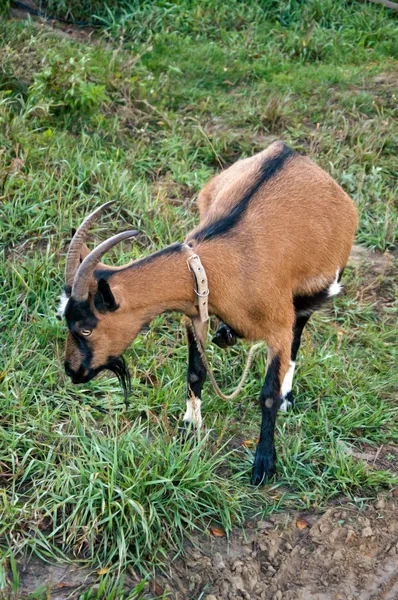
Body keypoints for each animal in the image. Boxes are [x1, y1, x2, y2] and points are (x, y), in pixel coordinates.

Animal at [59, 142, 358, 488]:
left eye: (86, 328)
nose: (72, 371)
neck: (218, 267)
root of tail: (291, 152)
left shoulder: (278, 328)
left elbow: (268, 393)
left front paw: (264, 464)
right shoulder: (194, 318)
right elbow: (195, 373)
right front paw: (190, 427)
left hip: (317, 286)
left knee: (299, 333)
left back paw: (286, 394)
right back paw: (227, 334)